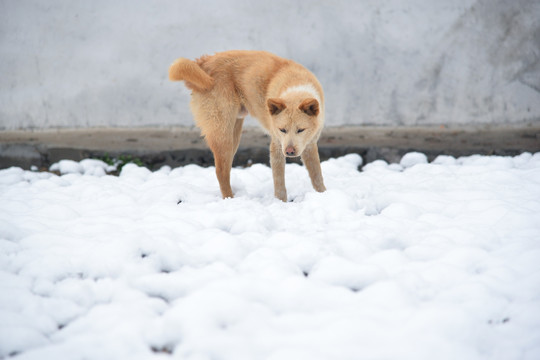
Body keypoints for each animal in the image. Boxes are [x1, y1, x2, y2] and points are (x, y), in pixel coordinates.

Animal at [169, 50, 324, 202]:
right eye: (282, 130)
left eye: (301, 130)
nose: (290, 151)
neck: (295, 88)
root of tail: (202, 63)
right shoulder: (277, 146)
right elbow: (279, 184)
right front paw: (281, 203)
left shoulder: (310, 145)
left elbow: (317, 177)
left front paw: (323, 195)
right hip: (222, 135)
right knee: (220, 171)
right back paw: (230, 200)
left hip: (235, 134)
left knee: (226, 169)